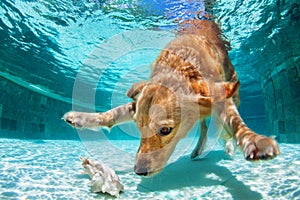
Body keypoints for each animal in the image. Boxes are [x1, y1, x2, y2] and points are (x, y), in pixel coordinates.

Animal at [62, 19, 278, 177]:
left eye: (165, 130)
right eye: (138, 127)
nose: (138, 172)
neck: (180, 67)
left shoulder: (220, 98)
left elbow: (236, 125)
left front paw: (254, 141)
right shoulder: (136, 106)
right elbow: (111, 114)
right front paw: (82, 118)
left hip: (232, 91)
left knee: (221, 127)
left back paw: (228, 147)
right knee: (204, 126)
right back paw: (198, 149)